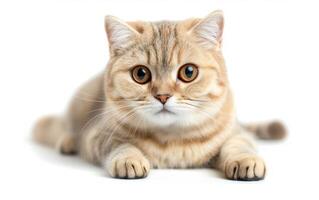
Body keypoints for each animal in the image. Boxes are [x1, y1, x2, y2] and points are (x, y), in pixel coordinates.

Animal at [33, 10, 288, 180]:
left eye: (188, 72)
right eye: (141, 74)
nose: (163, 96)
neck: (173, 140)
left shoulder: (235, 131)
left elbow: (239, 143)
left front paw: (245, 160)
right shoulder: (98, 134)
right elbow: (121, 144)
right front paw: (129, 158)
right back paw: (67, 141)